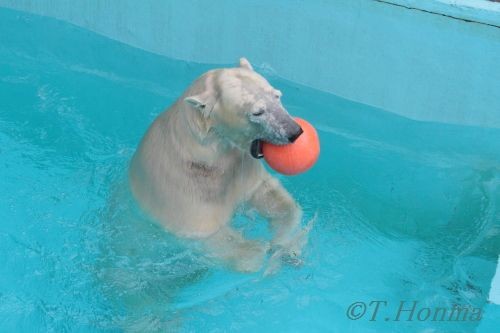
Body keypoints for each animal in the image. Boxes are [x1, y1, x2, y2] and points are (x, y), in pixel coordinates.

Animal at [127, 57, 310, 272]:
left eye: (277, 95)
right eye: (257, 112)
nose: (294, 132)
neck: (207, 161)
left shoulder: (241, 167)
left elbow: (272, 198)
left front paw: (285, 246)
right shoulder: (184, 194)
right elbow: (210, 237)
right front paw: (261, 248)